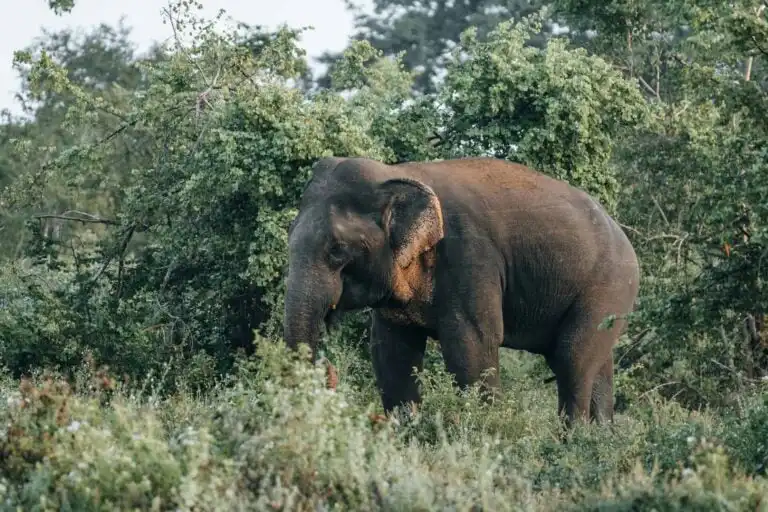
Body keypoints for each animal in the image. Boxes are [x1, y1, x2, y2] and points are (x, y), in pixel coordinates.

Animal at [283, 156, 640, 426]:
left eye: (337, 250)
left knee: (571, 358)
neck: (398, 173)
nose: (328, 368)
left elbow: (471, 346)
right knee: (598, 366)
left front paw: (485, 435)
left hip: (610, 287)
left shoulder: (470, 257)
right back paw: (598, 439)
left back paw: (572, 441)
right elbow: (392, 352)